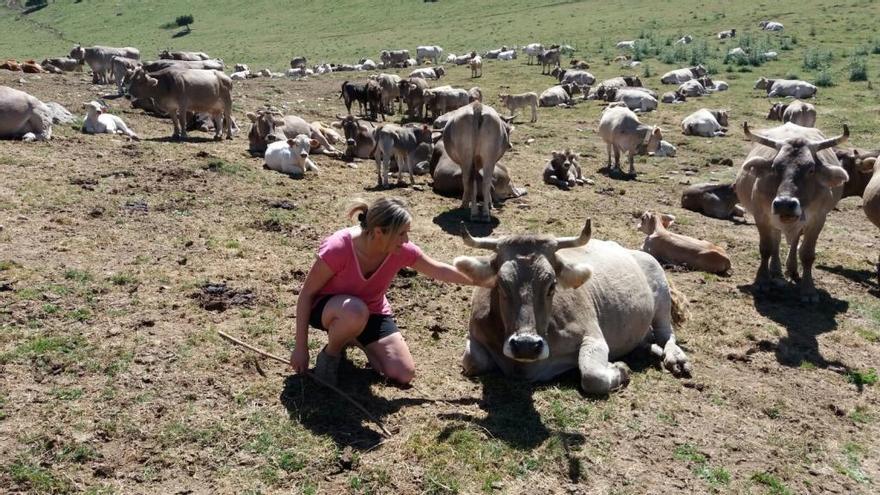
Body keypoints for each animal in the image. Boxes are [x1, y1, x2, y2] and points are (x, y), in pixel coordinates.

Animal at [454, 220, 696, 396]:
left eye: (552, 284)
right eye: (501, 284)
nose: (525, 346)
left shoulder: (593, 335)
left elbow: (592, 376)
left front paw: (620, 369)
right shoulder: (474, 334)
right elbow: (472, 361)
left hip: (661, 291)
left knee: (666, 334)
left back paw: (675, 357)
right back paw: (650, 349)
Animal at [736, 123, 852, 302]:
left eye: (811, 169)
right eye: (775, 167)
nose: (785, 204)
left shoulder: (818, 220)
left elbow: (807, 254)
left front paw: (808, 290)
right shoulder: (761, 216)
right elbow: (766, 248)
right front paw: (762, 281)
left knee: (795, 241)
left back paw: (791, 268)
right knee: (776, 240)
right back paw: (776, 269)